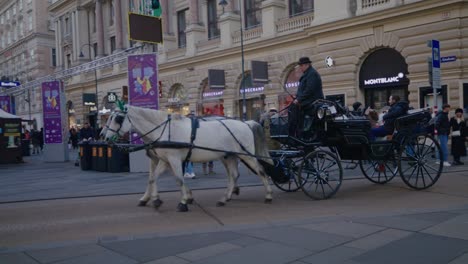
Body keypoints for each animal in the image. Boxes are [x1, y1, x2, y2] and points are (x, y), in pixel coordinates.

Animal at [100, 104, 272, 211]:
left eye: (118, 119)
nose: (104, 137)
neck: (164, 129)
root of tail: (246, 123)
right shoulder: (164, 160)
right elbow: (153, 178)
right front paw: (155, 199)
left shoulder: (174, 159)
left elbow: (178, 179)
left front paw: (183, 202)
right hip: (229, 156)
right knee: (234, 175)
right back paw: (224, 198)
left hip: (246, 155)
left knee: (261, 171)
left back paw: (268, 195)